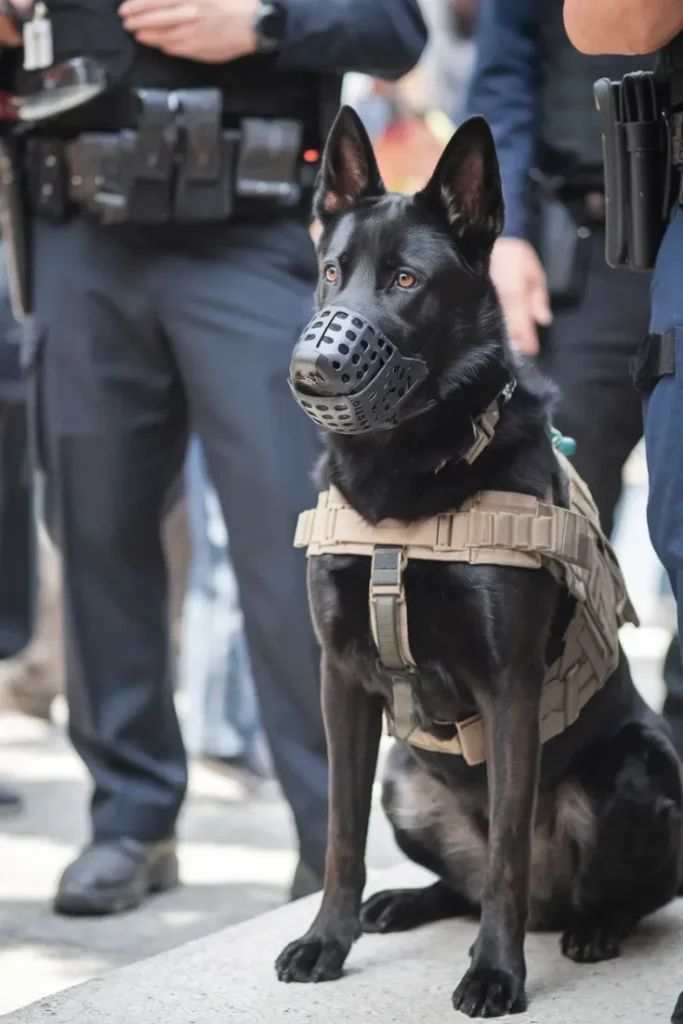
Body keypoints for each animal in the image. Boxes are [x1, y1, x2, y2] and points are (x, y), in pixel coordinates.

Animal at [274, 108, 679, 1011]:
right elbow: (340, 834)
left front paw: (495, 973)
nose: (311, 370)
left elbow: (503, 861)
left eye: (403, 281)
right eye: (330, 273)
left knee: (620, 890)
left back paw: (593, 930)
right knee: (454, 882)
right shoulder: (338, 678)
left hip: (637, 769)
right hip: (402, 777)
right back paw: (400, 903)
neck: (407, 487)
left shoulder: (508, 686)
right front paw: (328, 940)